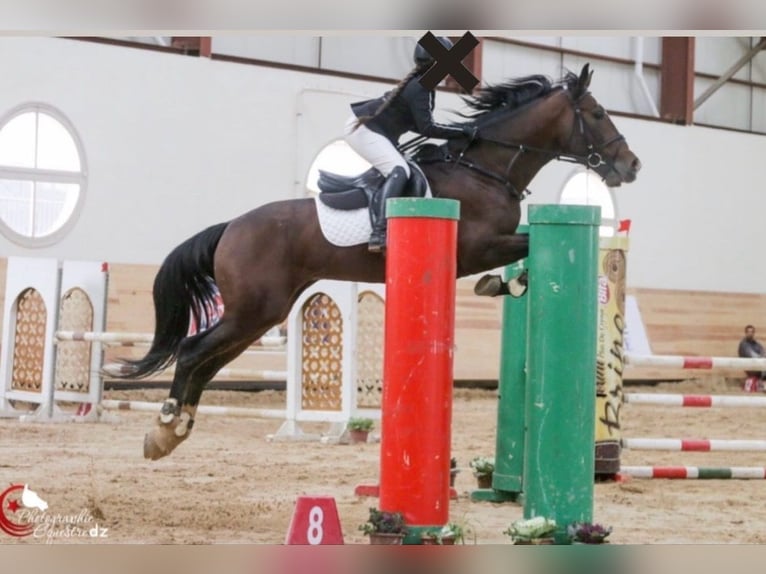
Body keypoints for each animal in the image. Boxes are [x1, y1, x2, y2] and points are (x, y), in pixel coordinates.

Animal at [112, 63, 640, 462]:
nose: (632, 165)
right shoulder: (479, 246)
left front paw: (507, 285)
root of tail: (231, 227)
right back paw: (164, 428)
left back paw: (173, 431)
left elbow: (528, 246)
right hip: (253, 311)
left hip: (260, 316)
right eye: (596, 114)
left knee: (207, 362)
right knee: (192, 352)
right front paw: (501, 284)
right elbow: (524, 244)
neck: (485, 170)